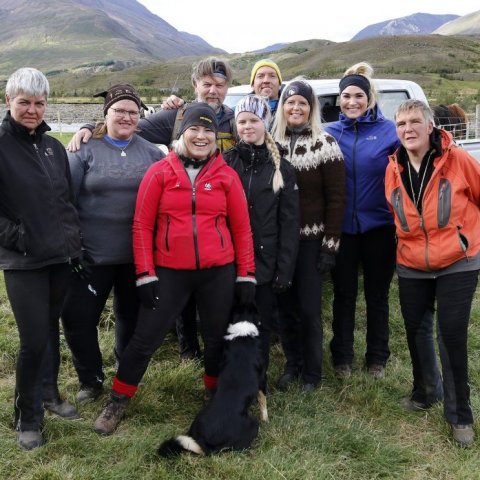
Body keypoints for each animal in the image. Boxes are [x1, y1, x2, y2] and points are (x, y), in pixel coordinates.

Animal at [158, 306, 268, 456]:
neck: (242, 334)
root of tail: (204, 443)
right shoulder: (262, 379)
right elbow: (263, 401)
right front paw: (266, 419)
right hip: (252, 424)